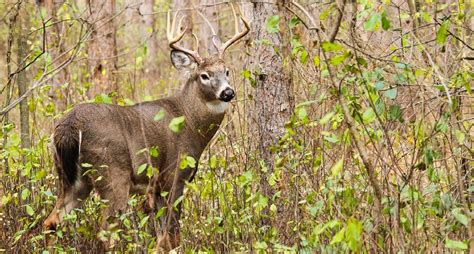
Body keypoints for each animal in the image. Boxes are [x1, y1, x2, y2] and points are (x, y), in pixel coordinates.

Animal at [44, 4, 250, 251]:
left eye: (226, 71)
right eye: (204, 75)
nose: (228, 92)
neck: (189, 121)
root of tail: (68, 127)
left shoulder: (157, 187)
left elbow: (163, 237)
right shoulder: (174, 176)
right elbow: (172, 235)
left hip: (71, 177)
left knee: (51, 221)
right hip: (112, 174)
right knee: (106, 231)